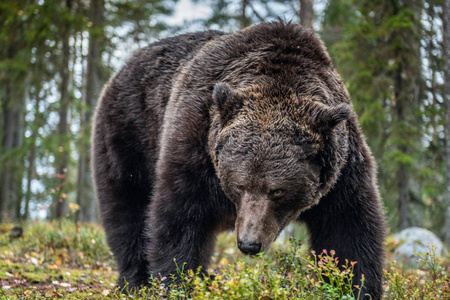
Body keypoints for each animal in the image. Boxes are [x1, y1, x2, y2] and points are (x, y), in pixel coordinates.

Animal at [92, 22, 386, 298]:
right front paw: (173, 283)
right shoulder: (195, 145)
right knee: (128, 211)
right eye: (240, 185)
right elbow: (177, 218)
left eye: (277, 191)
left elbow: (348, 230)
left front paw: (355, 287)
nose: (249, 243)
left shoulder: (341, 170)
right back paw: (134, 281)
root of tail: (123, 67)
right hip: (130, 136)